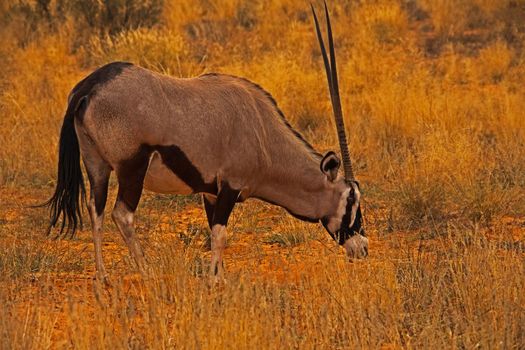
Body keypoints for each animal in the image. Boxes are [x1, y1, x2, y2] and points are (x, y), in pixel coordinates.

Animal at [44, 2, 364, 282]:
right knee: (121, 214)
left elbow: (213, 233)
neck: (263, 134)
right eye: (351, 199)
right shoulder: (229, 187)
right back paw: (147, 273)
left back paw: (103, 277)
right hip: (131, 167)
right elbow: (220, 234)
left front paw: (218, 276)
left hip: (97, 165)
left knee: (95, 210)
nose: (362, 248)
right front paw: (214, 281)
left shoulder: (210, 192)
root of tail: (89, 87)